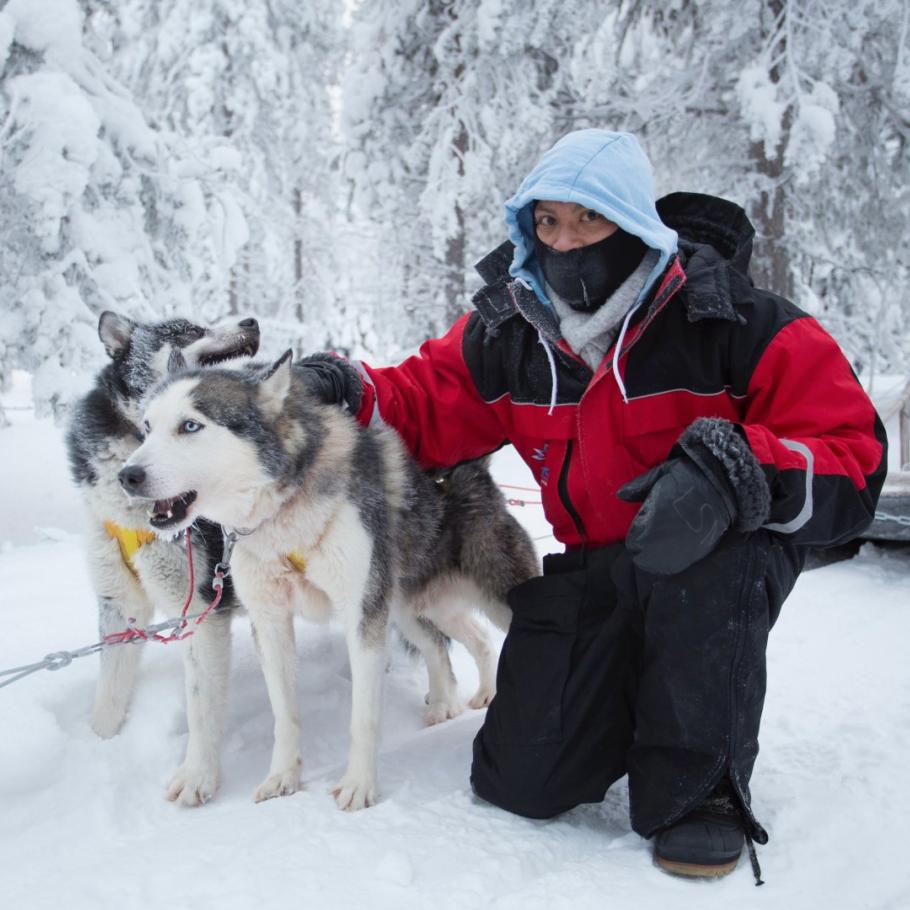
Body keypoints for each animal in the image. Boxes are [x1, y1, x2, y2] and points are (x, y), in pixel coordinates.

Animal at [66, 312, 260, 804]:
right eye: (189, 329)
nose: (251, 320)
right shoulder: (118, 607)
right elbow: (109, 695)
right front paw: (100, 745)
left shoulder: (200, 610)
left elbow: (200, 704)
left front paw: (197, 777)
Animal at [117, 354, 536, 812]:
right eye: (146, 427)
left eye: (190, 426)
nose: (127, 475)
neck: (285, 512)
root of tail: (476, 472)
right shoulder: (271, 621)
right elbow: (285, 714)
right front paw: (282, 777)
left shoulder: (361, 616)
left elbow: (364, 716)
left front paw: (359, 785)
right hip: (410, 606)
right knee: (464, 641)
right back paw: (460, 700)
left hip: (488, 596)